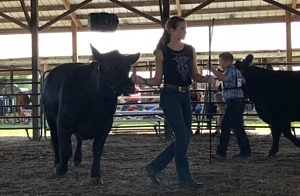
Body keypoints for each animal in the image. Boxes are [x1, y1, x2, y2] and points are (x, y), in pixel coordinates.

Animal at [41, 44, 140, 184]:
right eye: (110, 66)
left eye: (128, 67)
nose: (129, 87)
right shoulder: (63, 125)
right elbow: (65, 150)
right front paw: (60, 169)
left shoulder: (105, 126)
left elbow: (97, 150)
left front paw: (96, 175)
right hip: (50, 118)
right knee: (55, 142)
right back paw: (57, 163)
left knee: (79, 139)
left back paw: (77, 158)